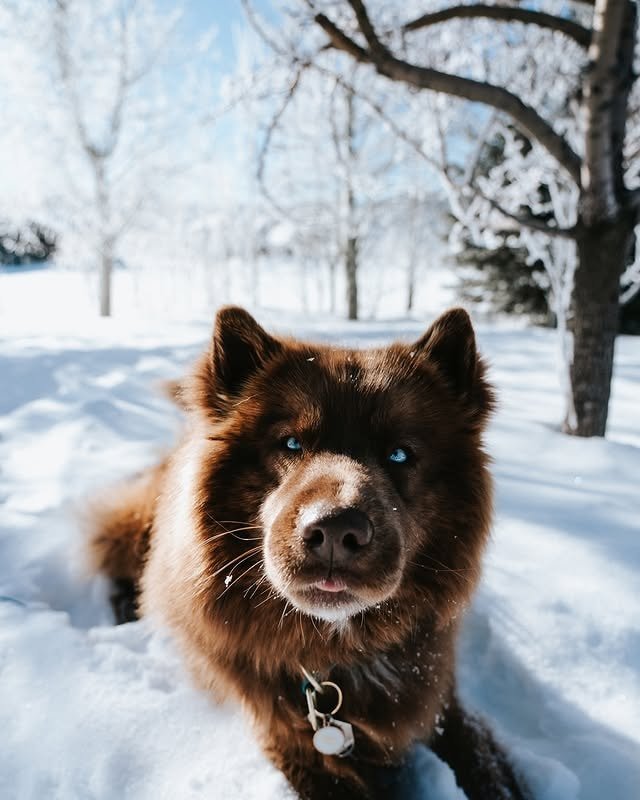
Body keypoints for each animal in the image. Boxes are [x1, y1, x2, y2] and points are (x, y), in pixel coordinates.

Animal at [87, 306, 528, 800]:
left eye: (399, 454)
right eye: (291, 444)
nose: (336, 531)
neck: (336, 657)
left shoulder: (442, 701)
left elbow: (489, 768)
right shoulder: (290, 742)